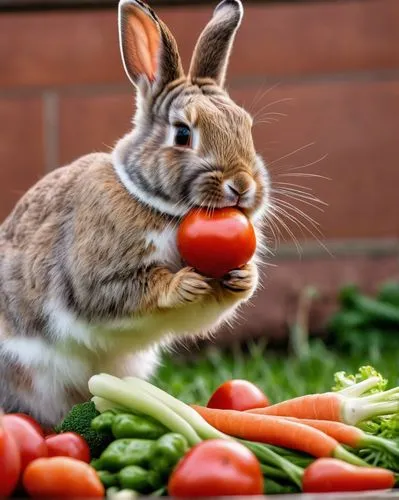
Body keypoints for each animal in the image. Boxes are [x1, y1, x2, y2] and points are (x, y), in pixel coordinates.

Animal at [0, 0, 272, 426]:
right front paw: (181, 284)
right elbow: (128, 291)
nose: (242, 186)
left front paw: (244, 278)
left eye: (246, 126)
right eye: (182, 134)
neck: (164, 209)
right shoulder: (98, 278)